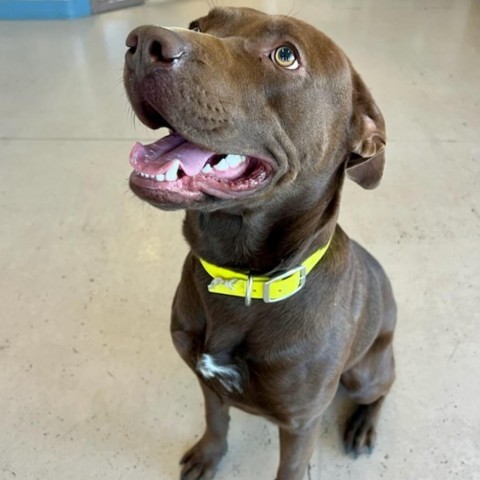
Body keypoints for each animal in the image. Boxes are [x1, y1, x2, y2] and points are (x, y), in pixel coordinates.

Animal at [124, 7, 398, 480]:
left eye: (285, 55)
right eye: (197, 25)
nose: (141, 42)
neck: (240, 280)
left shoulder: (301, 422)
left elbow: (291, 468)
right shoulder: (207, 383)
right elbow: (216, 422)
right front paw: (208, 456)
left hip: (365, 374)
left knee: (382, 388)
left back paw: (363, 426)